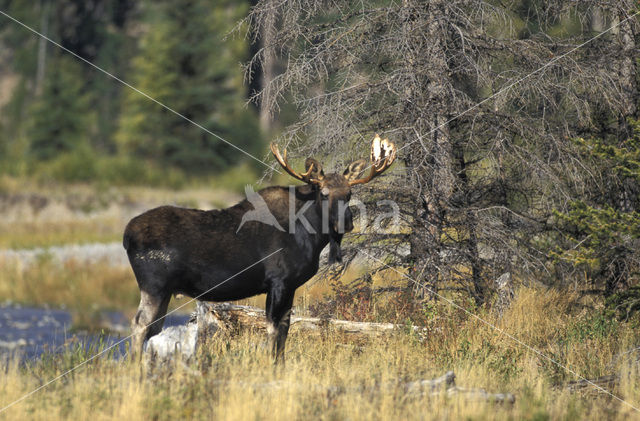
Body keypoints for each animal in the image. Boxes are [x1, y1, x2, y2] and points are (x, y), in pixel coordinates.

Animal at [124, 135, 396, 360]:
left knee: (153, 328)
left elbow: (285, 331)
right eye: (325, 193)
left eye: (349, 193)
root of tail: (127, 235)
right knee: (139, 324)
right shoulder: (278, 281)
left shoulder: (290, 285)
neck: (311, 235)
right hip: (154, 285)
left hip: (165, 290)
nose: (345, 222)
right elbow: (273, 332)